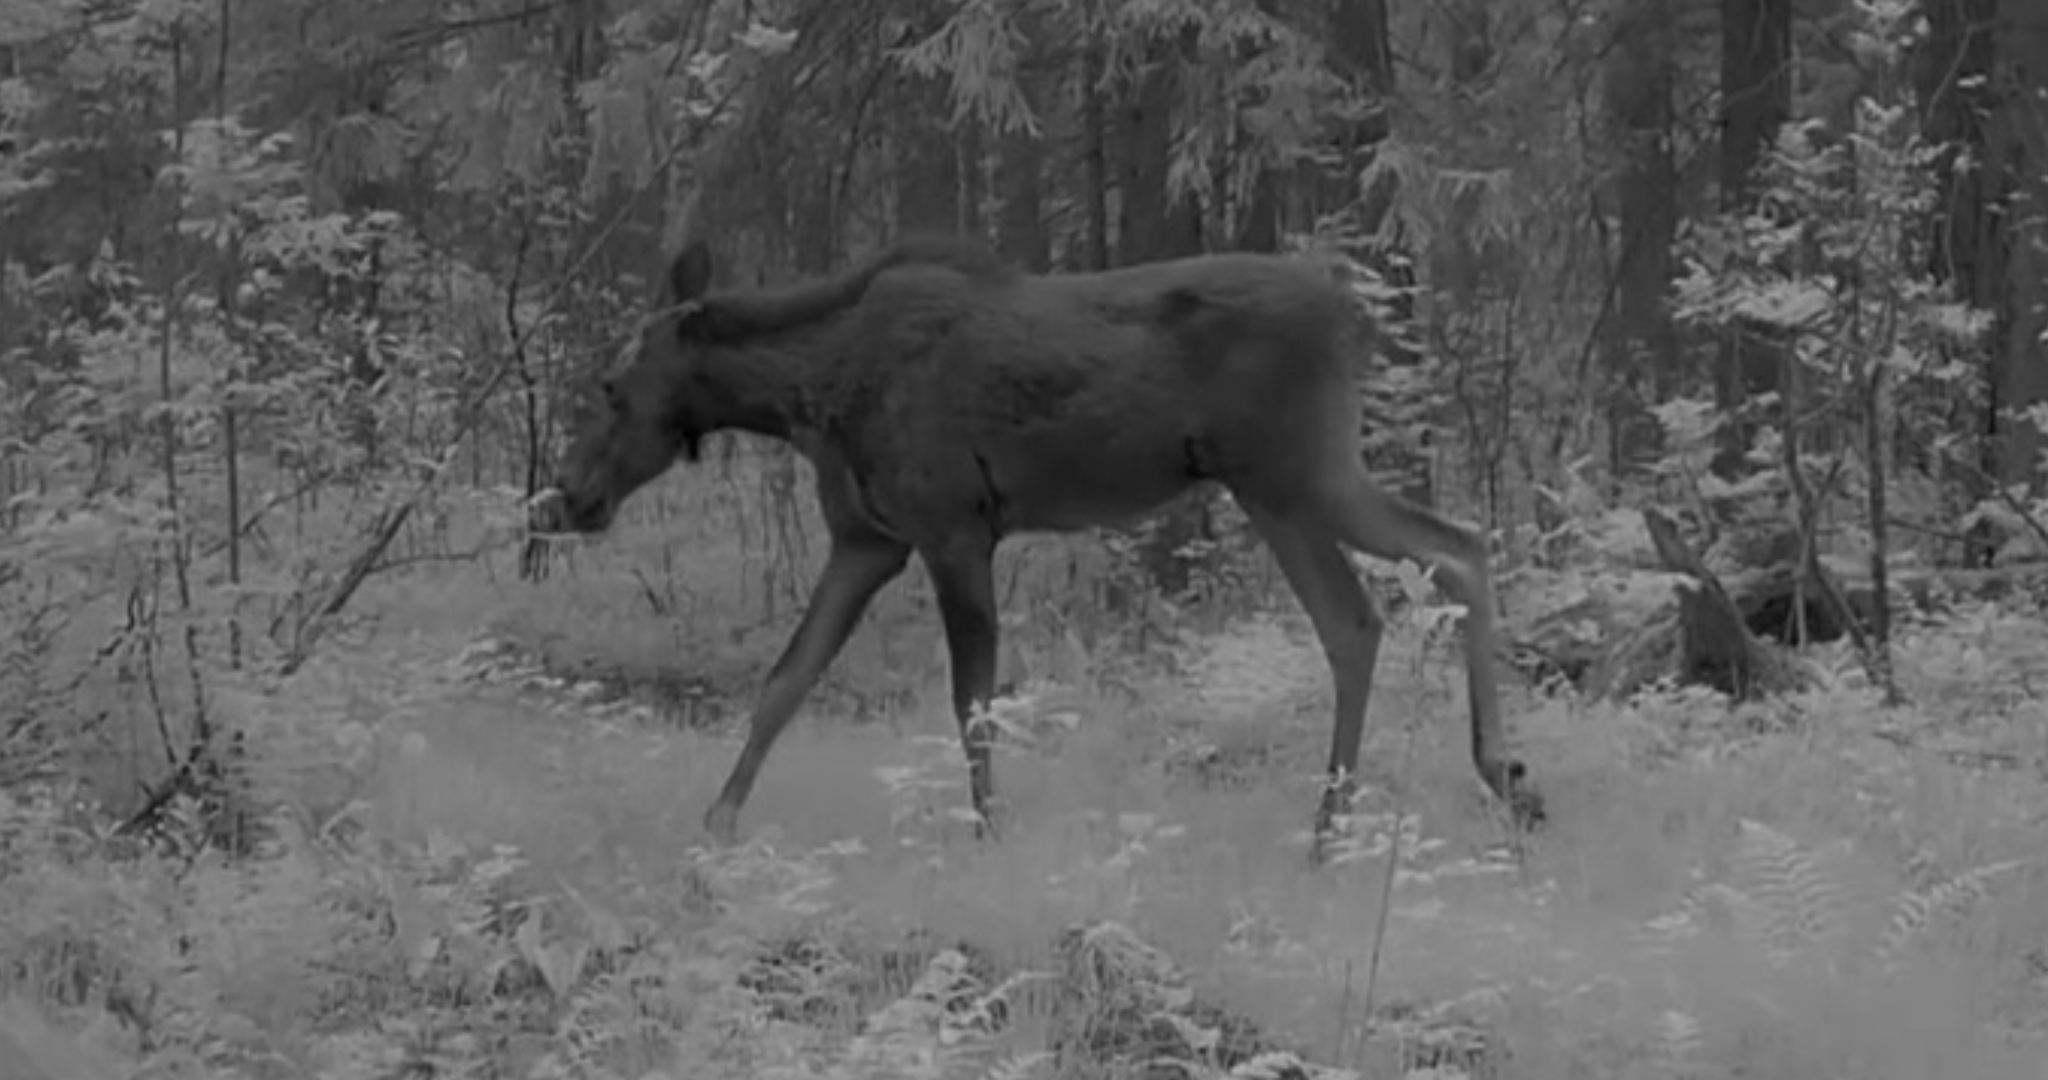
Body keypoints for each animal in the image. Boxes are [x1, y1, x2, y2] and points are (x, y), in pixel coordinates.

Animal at [536, 234, 1545, 861]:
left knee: (1412, 577)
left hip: (1296, 471)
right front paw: (714, 825)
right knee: (1413, 579)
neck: (805, 397)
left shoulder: (952, 528)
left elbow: (972, 702)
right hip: (1285, 483)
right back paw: (1458, 791)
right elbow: (784, 683)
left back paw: (1389, 807)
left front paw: (991, 832)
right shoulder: (867, 540)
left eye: (612, 385)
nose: (568, 494)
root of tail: (1360, 318)